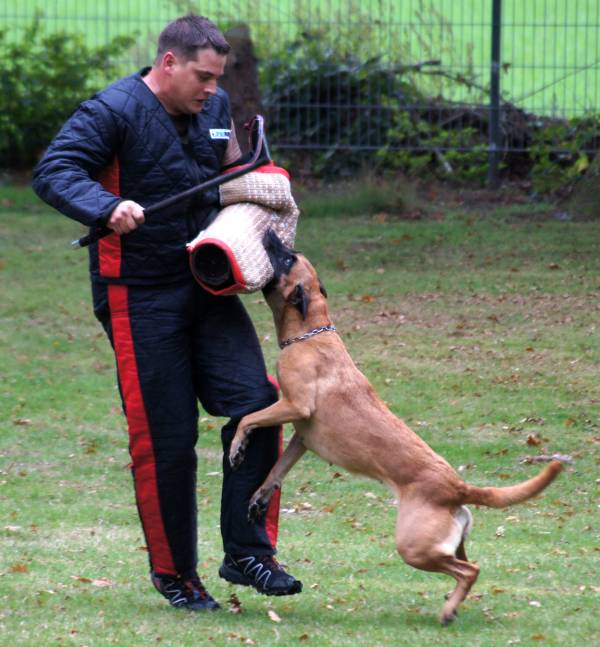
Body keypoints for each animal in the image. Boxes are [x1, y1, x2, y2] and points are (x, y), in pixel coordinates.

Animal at [229, 229, 563, 625]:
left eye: (286, 258)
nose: (270, 234)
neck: (311, 333)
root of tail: (457, 487)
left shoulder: (293, 405)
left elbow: (248, 419)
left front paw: (237, 449)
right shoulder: (302, 437)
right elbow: (276, 471)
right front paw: (259, 497)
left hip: (413, 545)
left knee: (470, 570)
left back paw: (447, 610)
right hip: (446, 544)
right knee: (466, 567)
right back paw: (453, 603)